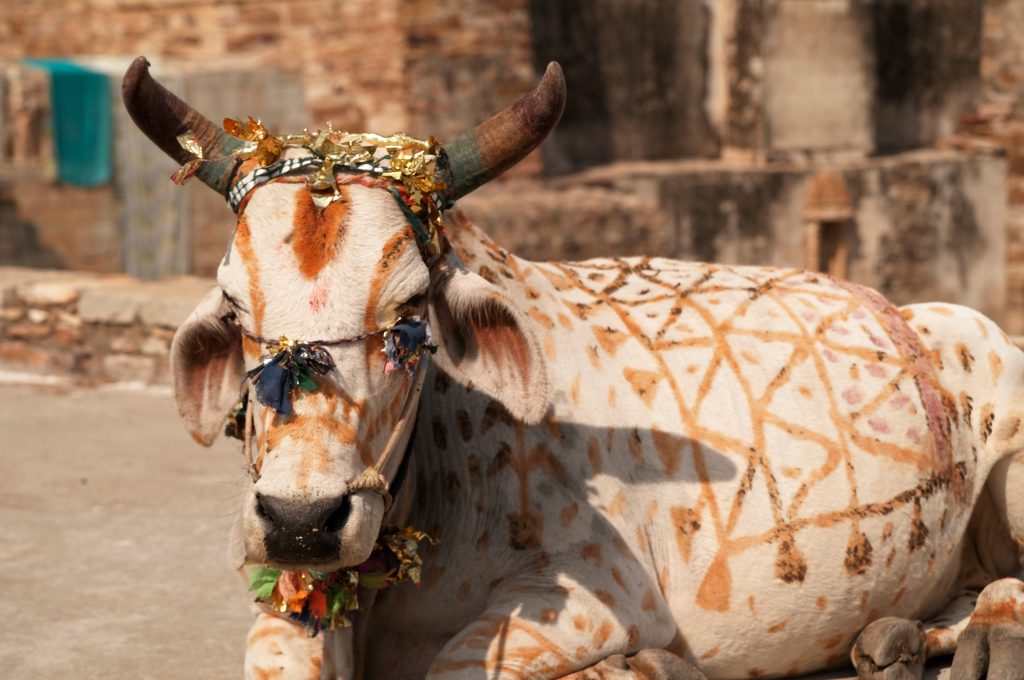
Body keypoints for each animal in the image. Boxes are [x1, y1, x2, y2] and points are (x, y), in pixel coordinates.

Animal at [125, 58, 1024, 680]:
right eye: (234, 306)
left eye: (411, 309)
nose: (301, 521)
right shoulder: (295, 599)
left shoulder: (601, 595)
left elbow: (459, 665)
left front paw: (642, 668)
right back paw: (895, 636)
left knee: (1009, 586)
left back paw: (980, 640)